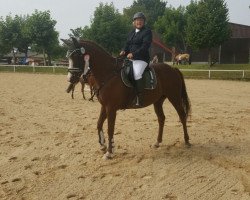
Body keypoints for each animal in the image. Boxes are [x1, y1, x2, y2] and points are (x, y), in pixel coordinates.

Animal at [61, 37, 190, 159]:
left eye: (76, 55)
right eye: (68, 56)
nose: (70, 79)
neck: (108, 73)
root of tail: (173, 69)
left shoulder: (111, 108)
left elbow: (110, 129)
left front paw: (109, 152)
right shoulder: (104, 106)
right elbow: (99, 124)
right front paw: (103, 146)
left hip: (174, 98)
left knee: (182, 116)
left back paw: (187, 141)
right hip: (158, 101)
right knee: (161, 118)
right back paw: (157, 142)